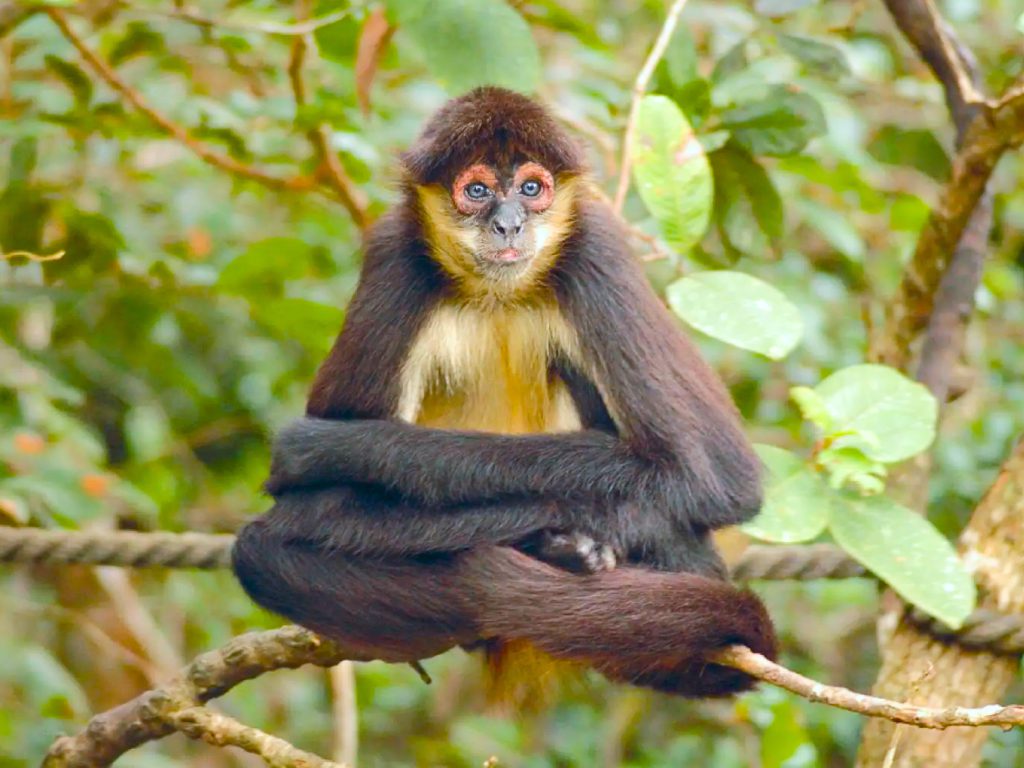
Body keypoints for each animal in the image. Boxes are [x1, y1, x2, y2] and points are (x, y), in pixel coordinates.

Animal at [232, 86, 777, 701]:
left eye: (531, 189)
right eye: (477, 191)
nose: (510, 224)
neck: (499, 293)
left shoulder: (597, 248)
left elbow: (715, 477)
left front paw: (332, 450)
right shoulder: (395, 255)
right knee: (261, 553)